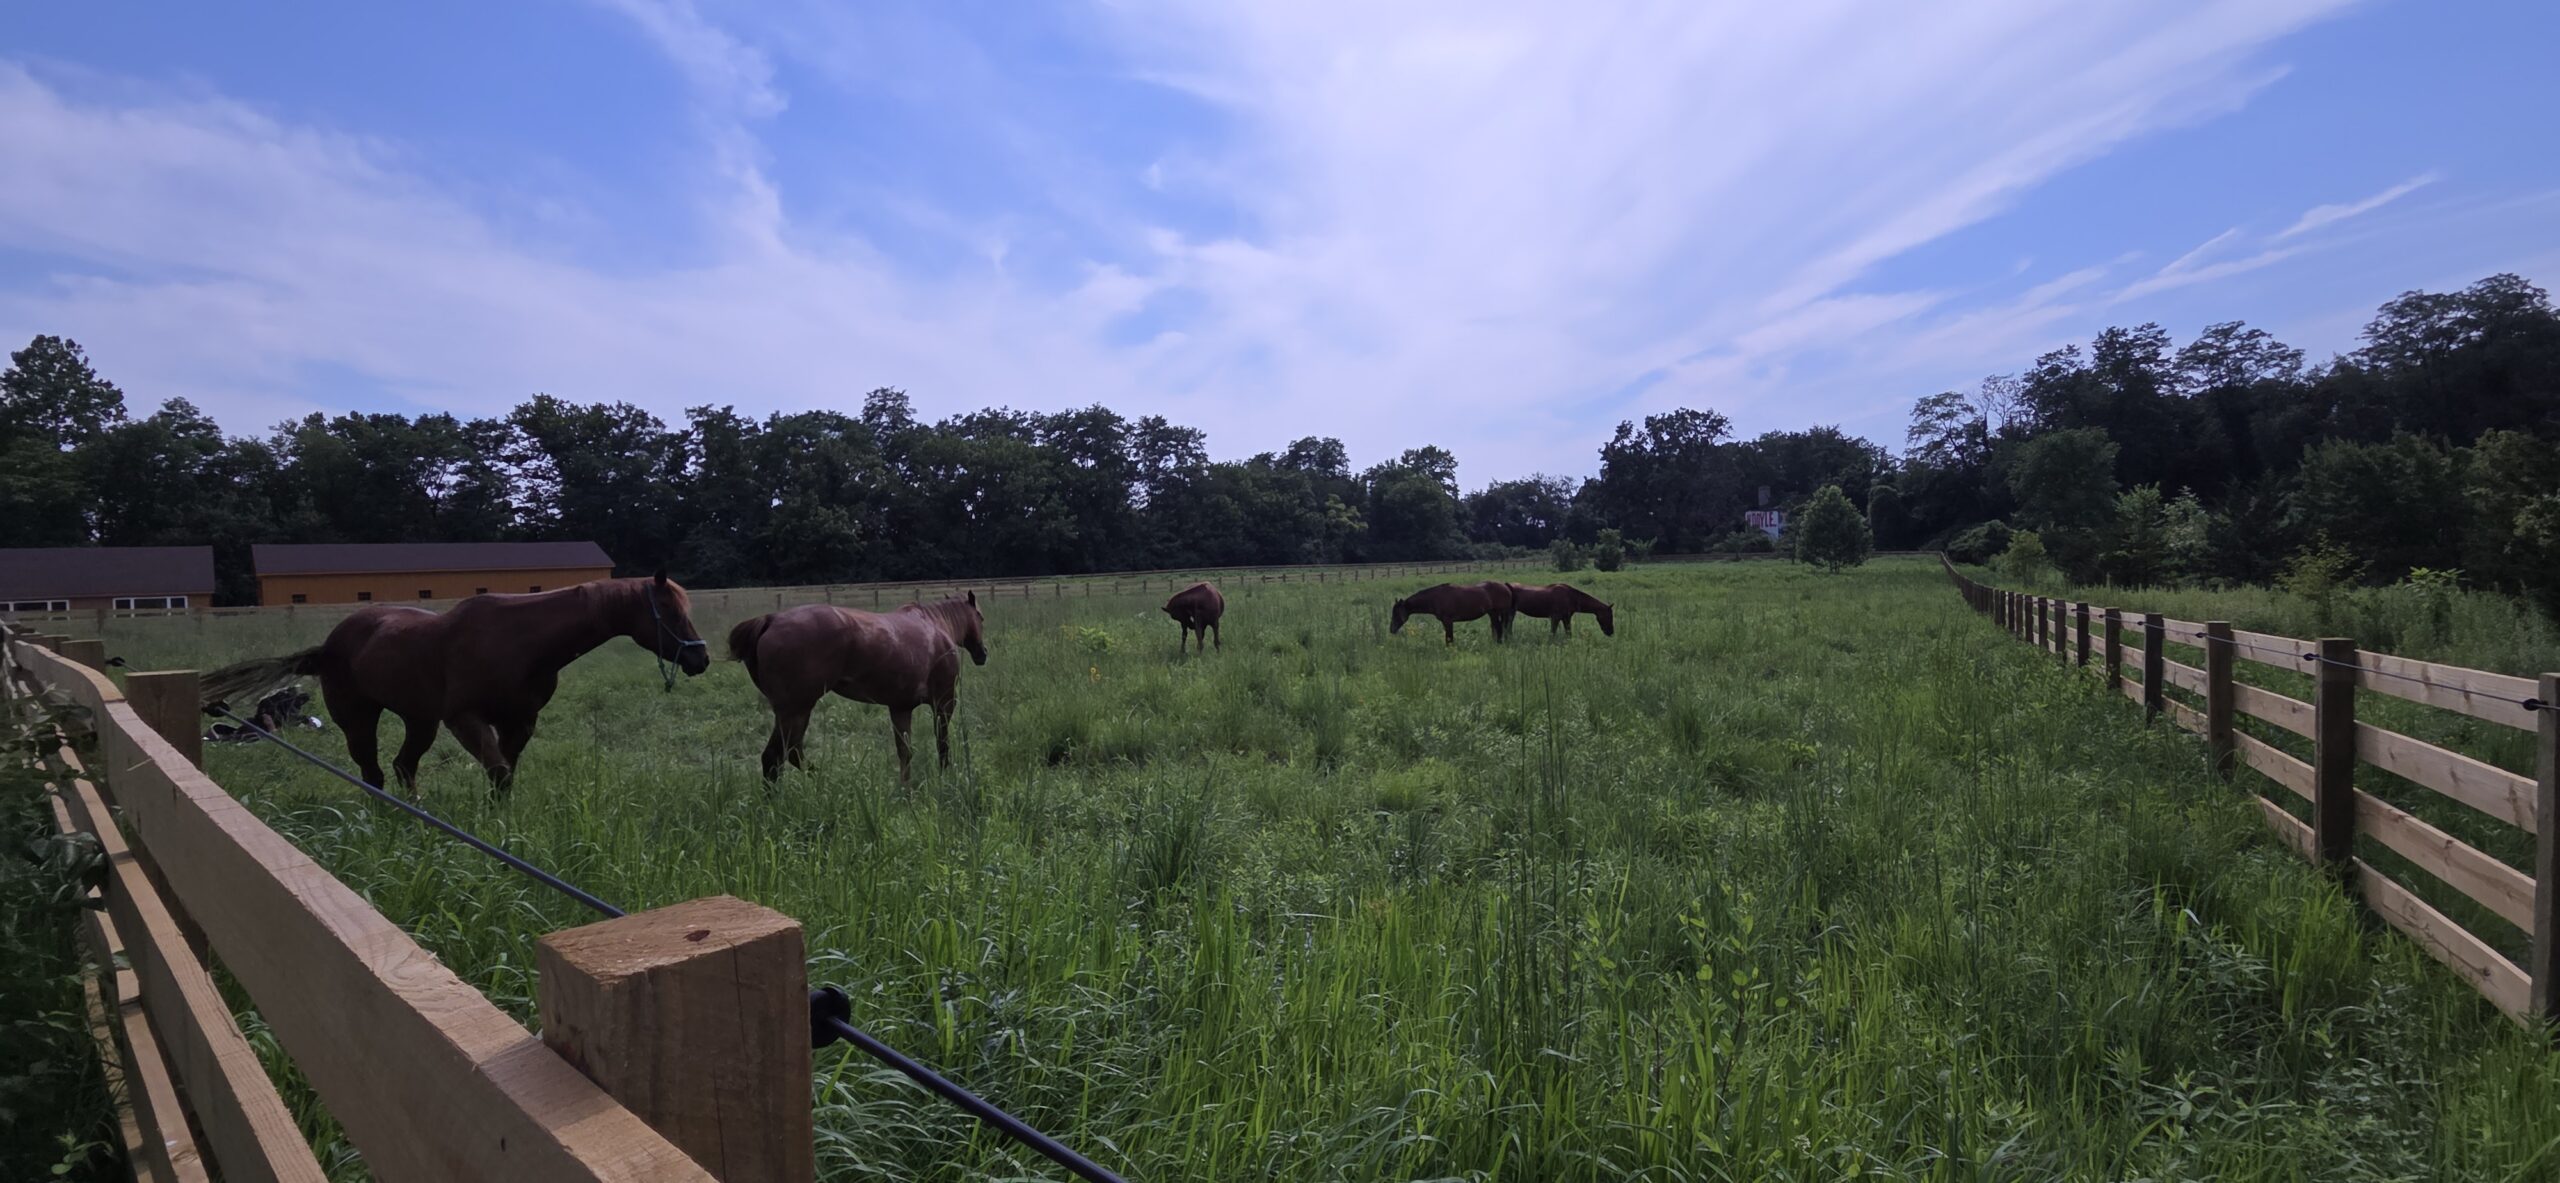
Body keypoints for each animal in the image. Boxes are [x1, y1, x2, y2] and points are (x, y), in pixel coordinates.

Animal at [203, 574, 710, 792]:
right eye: (666, 610)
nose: (699, 657)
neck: (521, 642)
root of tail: (328, 645)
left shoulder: (520, 721)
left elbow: (505, 776)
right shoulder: (465, 719)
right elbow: (498, 770)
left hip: (419, 721)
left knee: (403, 767)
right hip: (359, 719)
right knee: (374, 772)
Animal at [728, 592, 988, 783]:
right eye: (980, 617)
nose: (982, 654)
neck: (935, 627)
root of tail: (771, 619)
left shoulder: (901, 708)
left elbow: (905, 753)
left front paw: (905, 791)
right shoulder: (944, 703)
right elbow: (942, 745)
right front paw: (947, 778)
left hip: (788, 712)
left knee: (780, 757)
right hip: (796, 710)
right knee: (781, 755)